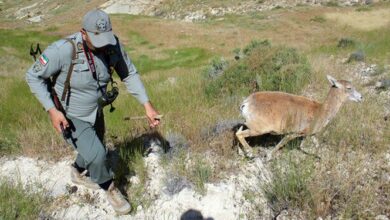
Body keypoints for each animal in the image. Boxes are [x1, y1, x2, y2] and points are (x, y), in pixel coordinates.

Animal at [236, 75, 364, 160]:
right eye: (349, 88)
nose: (361, 97)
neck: (321, 111)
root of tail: (245, 103)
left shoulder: (310, 134)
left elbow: (315, 146)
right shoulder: (293, 133)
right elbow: (282, 144)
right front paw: (269, 156)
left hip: (249, 123)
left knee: (239, 131)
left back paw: (243, 153)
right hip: (259, 128)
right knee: (240, 134)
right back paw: (251, 153)